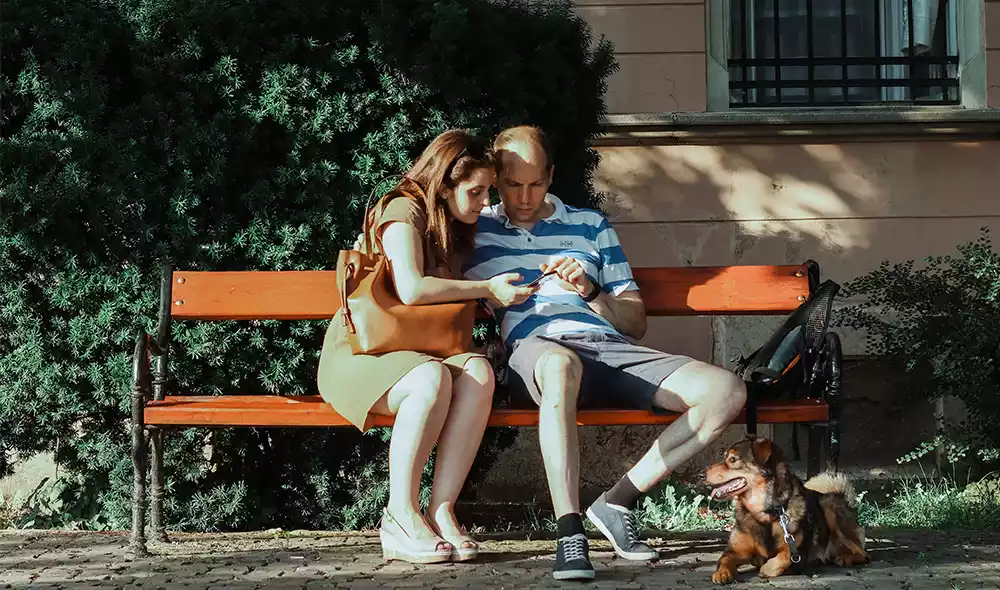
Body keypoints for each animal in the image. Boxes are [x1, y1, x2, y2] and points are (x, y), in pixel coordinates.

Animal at [704, 438, 868, 584]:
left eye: (733, 459)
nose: (702, 474)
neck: (764, 512)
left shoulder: (796, 552)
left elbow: (783, 557)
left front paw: (766, 568)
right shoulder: (734, 551)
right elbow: (724, 559)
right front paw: (722, 573)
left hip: (829, 505)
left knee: (864, 554)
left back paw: (845, 558)